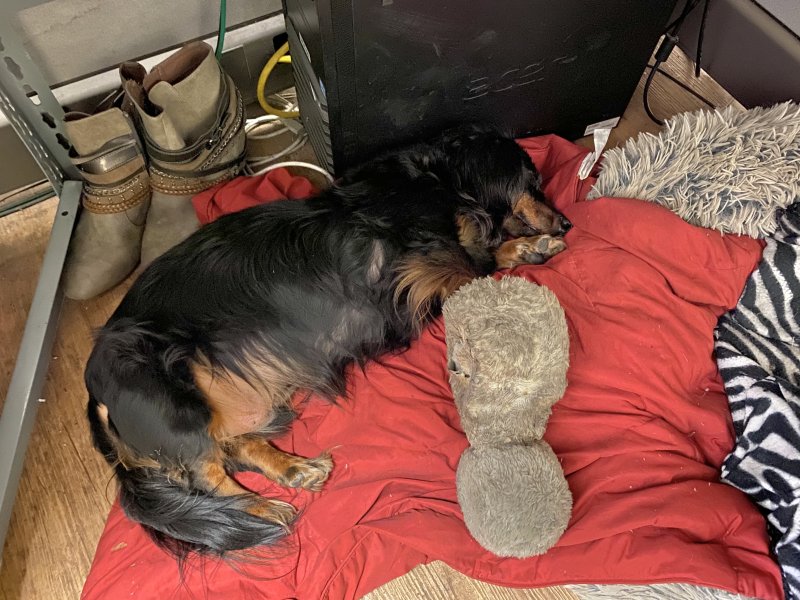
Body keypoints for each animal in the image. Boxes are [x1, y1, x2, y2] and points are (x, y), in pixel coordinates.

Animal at [85, 125, 571, 560]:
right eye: (533, 180)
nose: (567, 221)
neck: (436, 179)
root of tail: (96, 396)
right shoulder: (417, 274)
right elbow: (476, 263)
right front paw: (524, 247)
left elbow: (484, 257)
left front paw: (531, 247)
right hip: (177, 403)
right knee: (205, 474)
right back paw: (259, 509)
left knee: (236, 447)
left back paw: (294, 469)